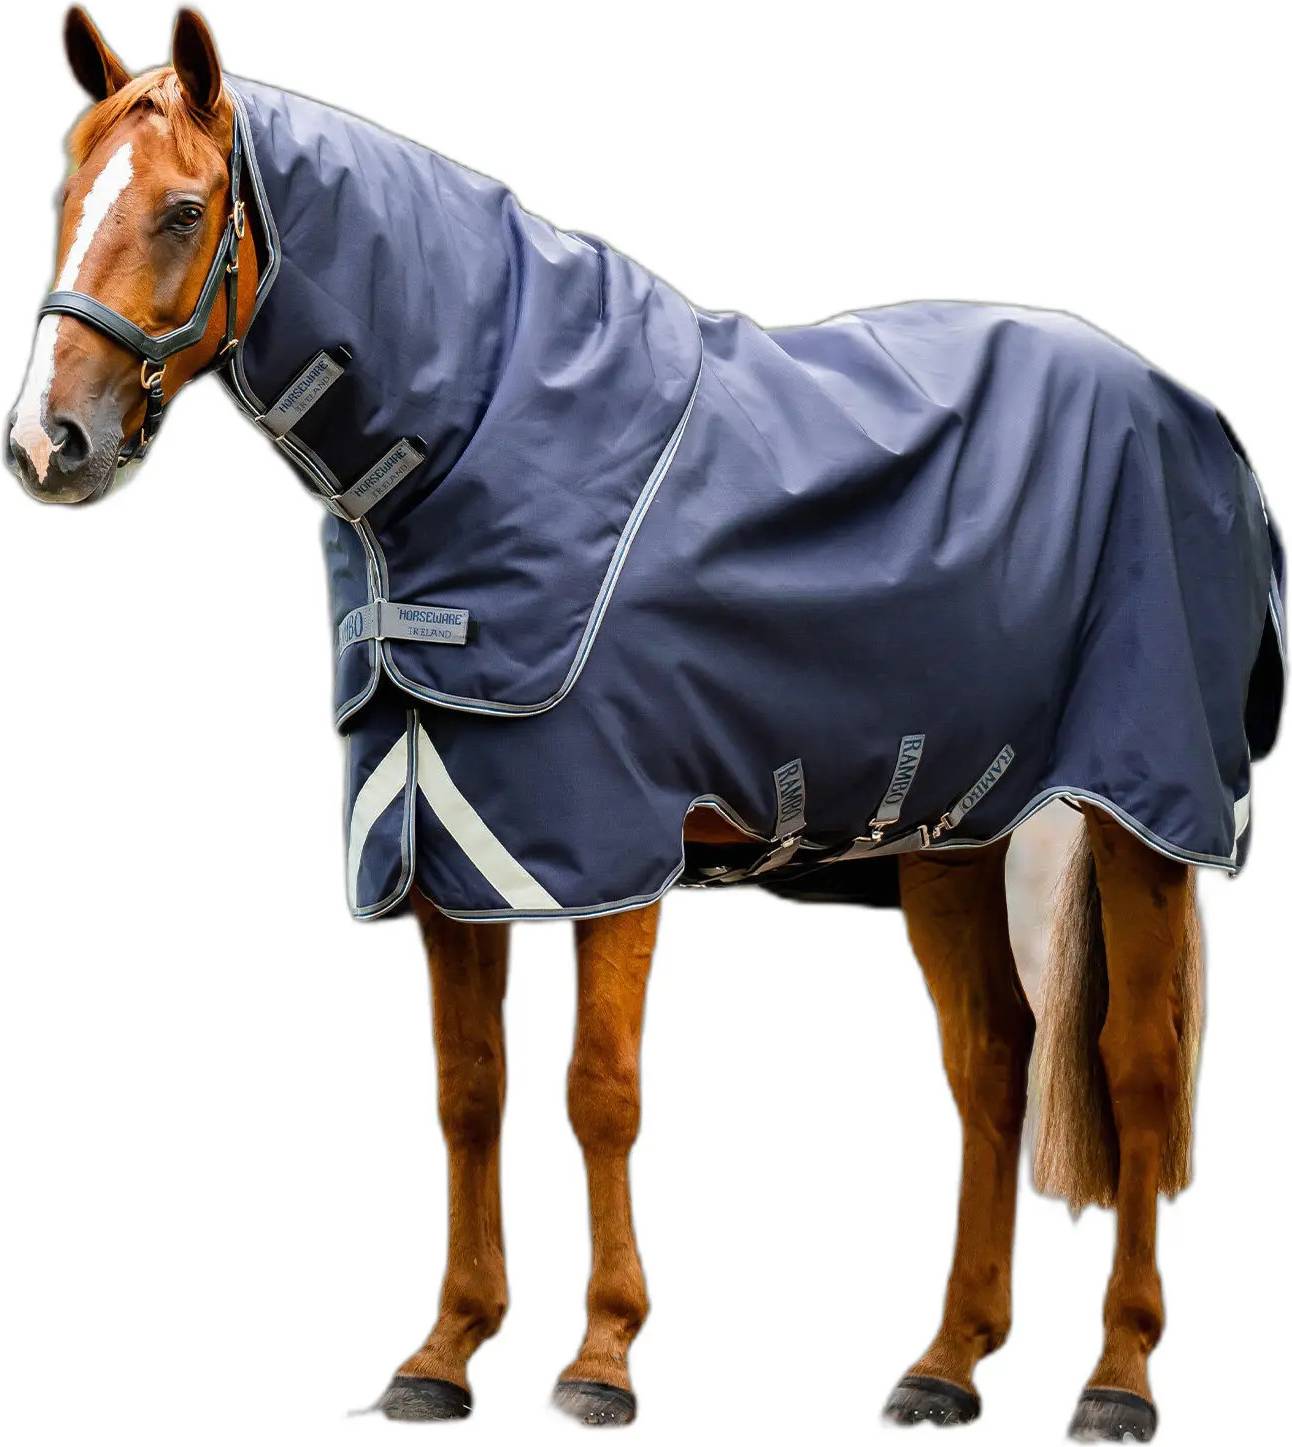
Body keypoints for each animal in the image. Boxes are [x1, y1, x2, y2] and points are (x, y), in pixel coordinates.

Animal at [6, 10, 1283, 1441]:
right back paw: (945, 1362)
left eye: (182, 210)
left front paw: (600, 1357)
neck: (477, 455)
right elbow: (470, 1090)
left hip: (1145, 815)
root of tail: (1194, 417)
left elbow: (595, 1090)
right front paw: (442, 1351)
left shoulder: (608, 851)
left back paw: (1116, 1376)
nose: (49, 443)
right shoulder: (447, 851)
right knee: (990, 1063)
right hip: (951, 836)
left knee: (1134, 1069)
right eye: (65, 198)